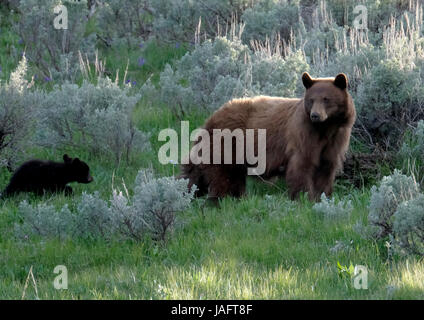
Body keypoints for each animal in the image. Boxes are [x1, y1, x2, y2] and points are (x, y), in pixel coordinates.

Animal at [181, 73, 356, 200]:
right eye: (311, 100)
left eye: (326, 99)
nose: (315, 115)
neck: (325, 129)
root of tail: (212, 117)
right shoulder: (303, 134)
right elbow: (302, 165)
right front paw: (304, 197)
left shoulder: (336, 139)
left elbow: (326, 167)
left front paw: (322, 196)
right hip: (227, 143)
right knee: (220, 176)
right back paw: (217, 199)